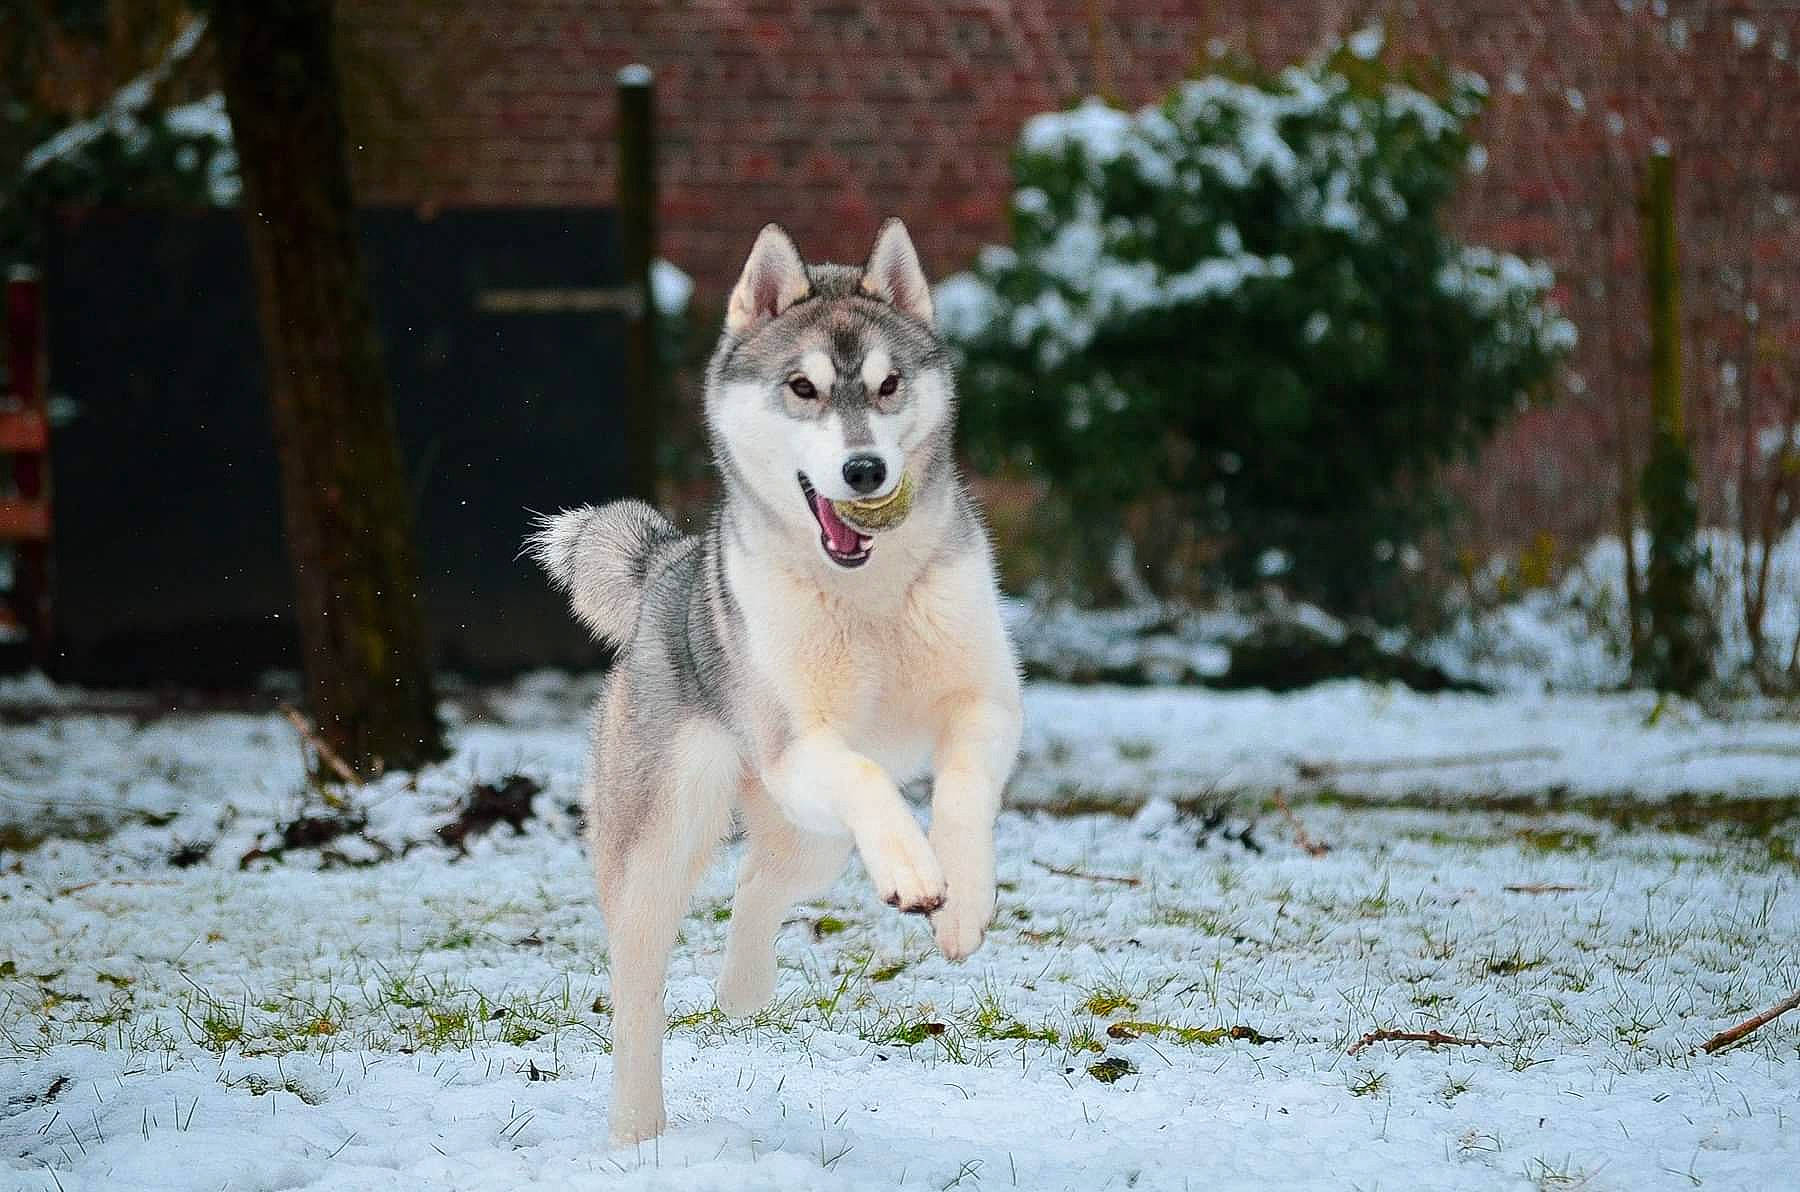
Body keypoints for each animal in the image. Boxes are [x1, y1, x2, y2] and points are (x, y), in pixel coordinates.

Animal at [528, 218, 1023, 1145]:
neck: (867, 596)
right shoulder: (798, 746)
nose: (864, 471)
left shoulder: (987, 704)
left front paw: (962, 900)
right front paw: (915, 869)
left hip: (811, 841)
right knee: (636, 987)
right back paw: (636, 1131)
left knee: (758, 882)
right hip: (663, 835)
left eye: (889, 385)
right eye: (803, 388)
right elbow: (865, 774)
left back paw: (743, 989)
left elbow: (964, 790)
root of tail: (668, 568)